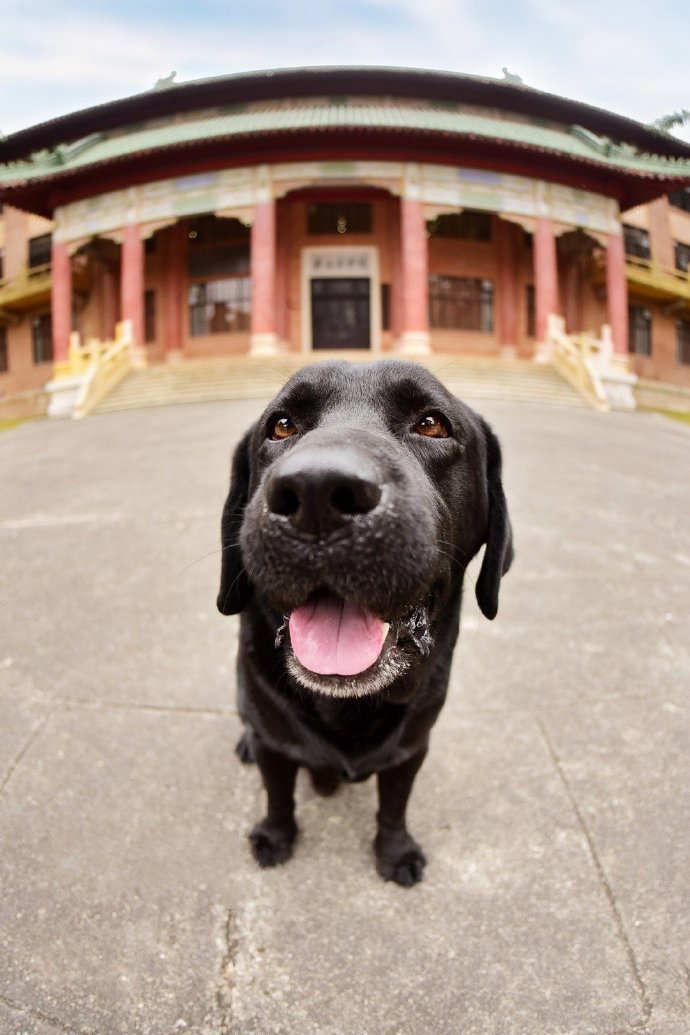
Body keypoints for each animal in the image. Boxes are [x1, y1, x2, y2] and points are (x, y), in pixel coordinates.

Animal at [217, 360, 513, 885]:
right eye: (282, 426)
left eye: (431, 424)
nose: (316, 491)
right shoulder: (275, 744)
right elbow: (278, 795)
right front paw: (274, 837)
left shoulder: (410, 750)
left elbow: (393, 806)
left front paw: (395, 852)